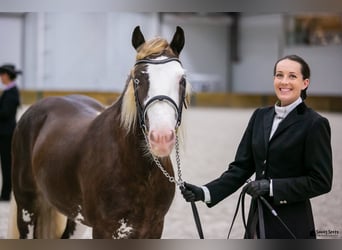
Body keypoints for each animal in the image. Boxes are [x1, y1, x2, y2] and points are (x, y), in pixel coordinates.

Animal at [8, 26, 190, 239]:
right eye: (137, 79)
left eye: (182, 79)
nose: (161, 137)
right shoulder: (103, 228)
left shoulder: (153, 228)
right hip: (27, 206)